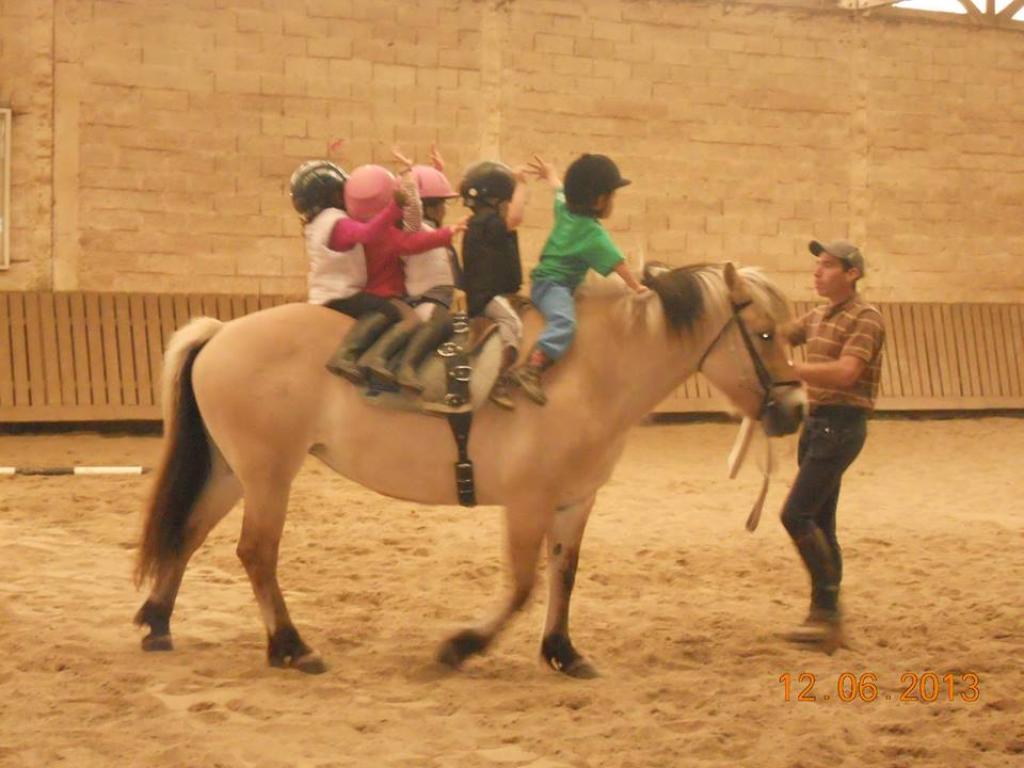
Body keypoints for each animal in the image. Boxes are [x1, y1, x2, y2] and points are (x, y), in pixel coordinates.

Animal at [136, 264, 802, 679]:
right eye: (766, 334)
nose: (795, 412)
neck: (583, 371)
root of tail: (221, 331)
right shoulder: (529, 504)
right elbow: (524, 585)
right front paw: (461, 646)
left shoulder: (575, 502)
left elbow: (564, 577)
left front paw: (563, 652)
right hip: (269, 476)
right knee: (256, 553)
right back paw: (291, 648)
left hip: (231, 471)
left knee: (188, 534)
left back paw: (159, 623)